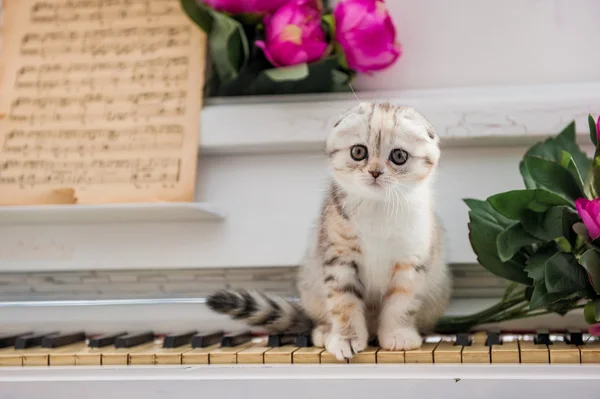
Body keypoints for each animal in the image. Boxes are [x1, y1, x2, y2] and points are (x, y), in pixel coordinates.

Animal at [209, 102, 452, 360]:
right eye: (358, 152)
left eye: (398, 156)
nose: (375, 172)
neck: (378, 208)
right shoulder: (340, 258)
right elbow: (343, 301)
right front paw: (346, 338)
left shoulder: (411, 260)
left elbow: (402, 301)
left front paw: (398, 334)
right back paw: (325, 332)